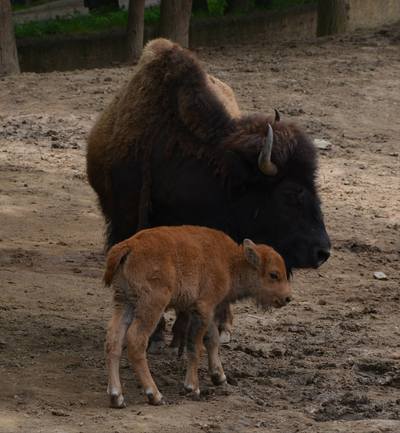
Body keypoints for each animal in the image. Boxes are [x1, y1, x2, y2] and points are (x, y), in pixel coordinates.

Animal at [103, 224, 290, 406]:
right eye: (273, 274)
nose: (287, 298)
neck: (230, 261)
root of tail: (130, 245)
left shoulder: (208, 311)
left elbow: (212, 340)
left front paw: (219, 377)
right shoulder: (203, 308)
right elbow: (195, 346)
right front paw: (192, 387)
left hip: (124, 302)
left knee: (114, 340)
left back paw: (116, 397)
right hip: (152, 305)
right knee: (136, 341)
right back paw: (155, 395)